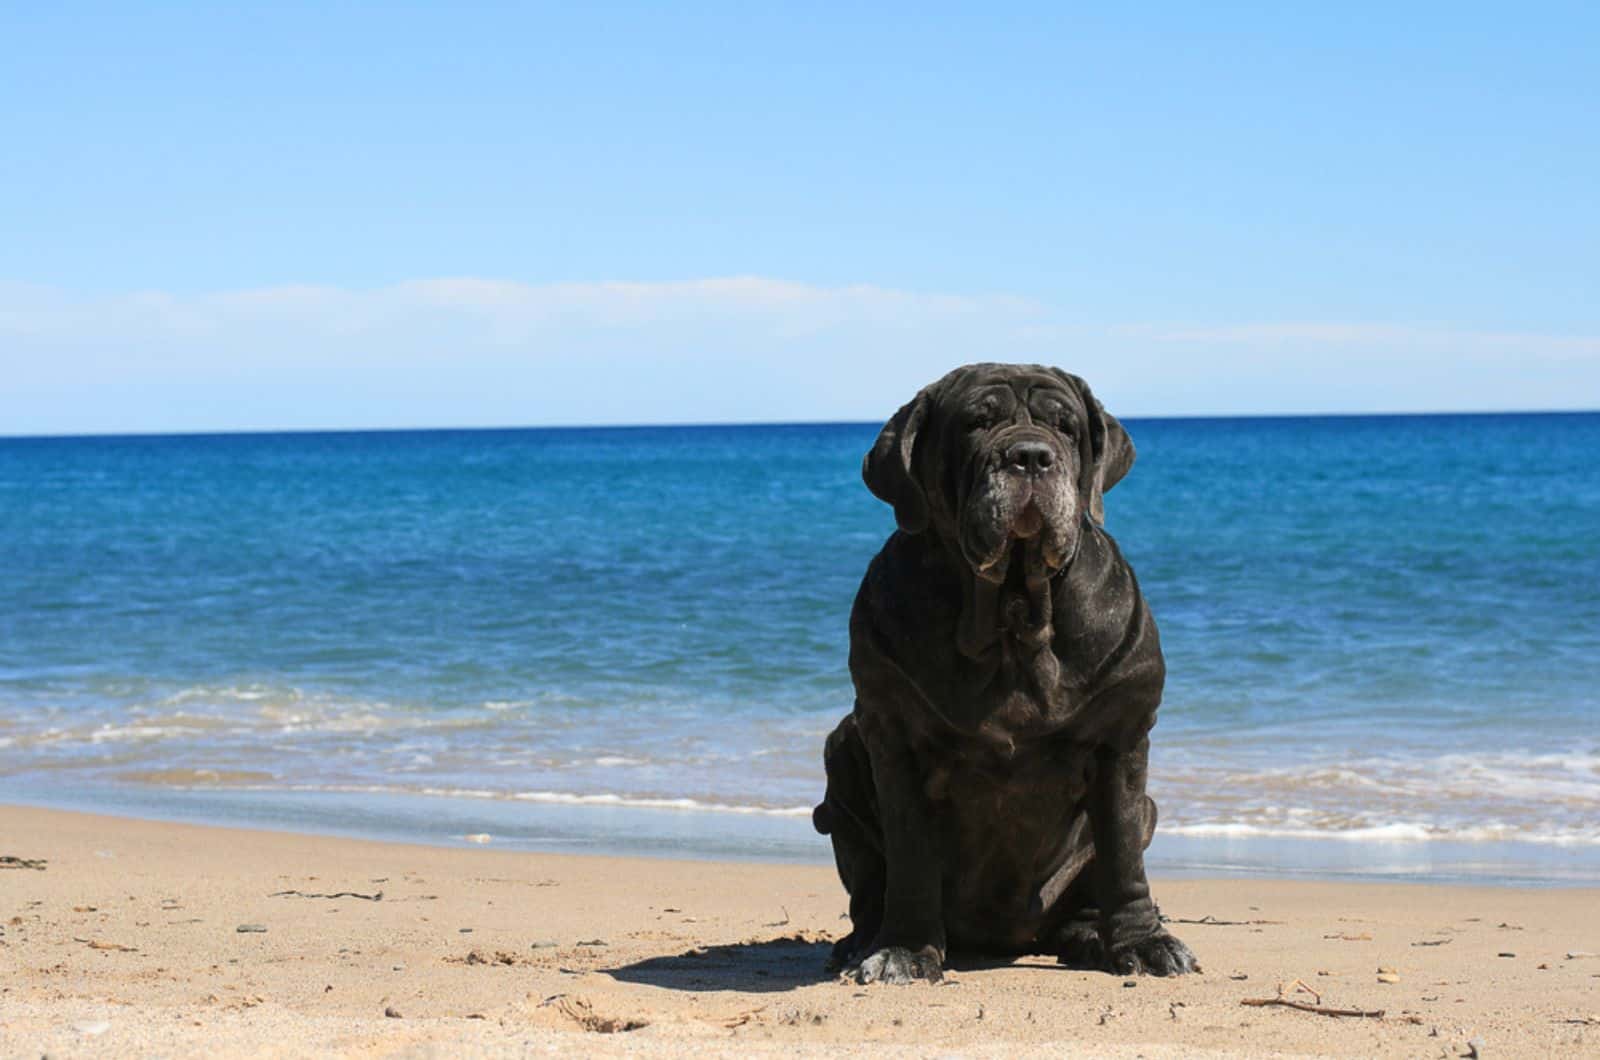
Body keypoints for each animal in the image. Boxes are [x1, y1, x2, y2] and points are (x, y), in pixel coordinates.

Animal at [812, 365, 1203, 986]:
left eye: (1065, 427)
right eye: (977, 422)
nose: (1031, 456)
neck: (1013, 613)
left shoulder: (1121, 736)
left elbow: (1122, 853)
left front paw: (1144, 942)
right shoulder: (891, 736)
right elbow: (910, 854)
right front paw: (904, 949)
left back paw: (1091, 935)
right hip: (843, 749)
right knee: (869, 886)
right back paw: (859, 942)